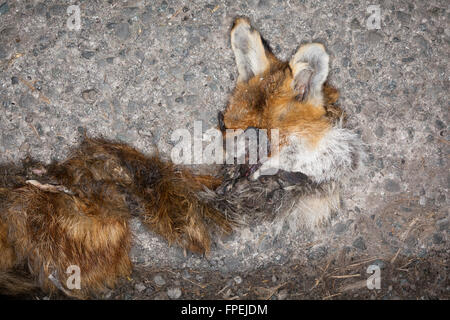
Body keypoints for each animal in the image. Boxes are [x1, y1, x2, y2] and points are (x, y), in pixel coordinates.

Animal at [0, 17, 358, 298]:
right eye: (223, 123)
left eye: (255, 133)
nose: (226, 166)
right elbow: (136, 169)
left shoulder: (213, 211)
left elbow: (146, 179)